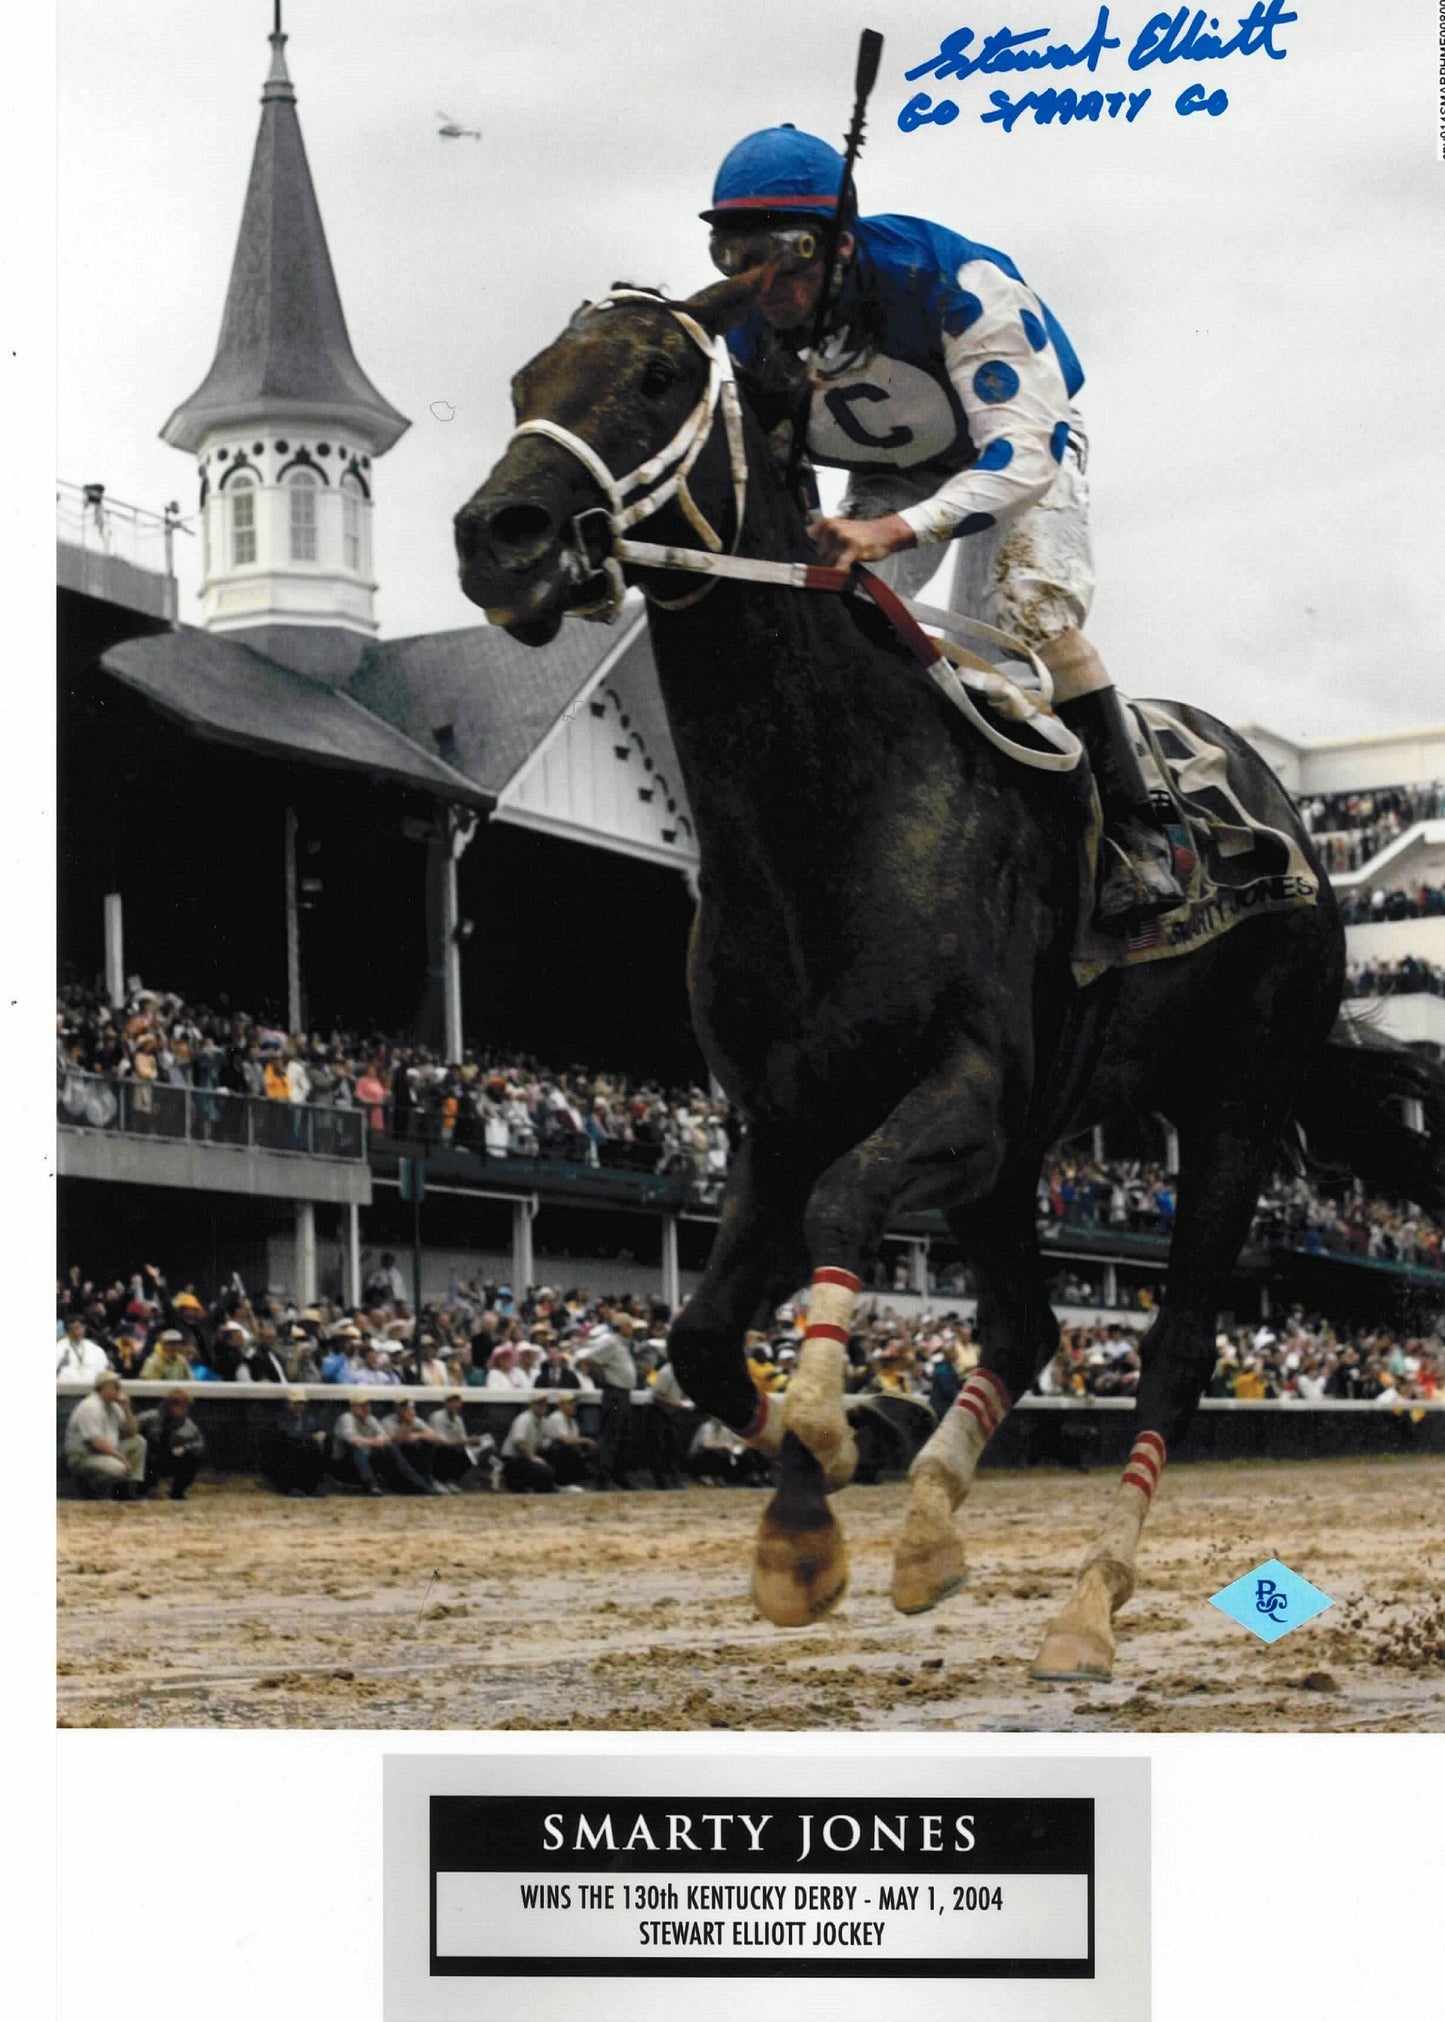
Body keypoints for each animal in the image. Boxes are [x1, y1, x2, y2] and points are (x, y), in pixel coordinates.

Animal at [454, 277, 1445, 1682]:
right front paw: (815, 1499)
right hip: (1031, 1151)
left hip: (1231, 1108)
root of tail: (1288, 823)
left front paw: (819, 1453)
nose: (499, 538)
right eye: (523, 381)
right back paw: (929, 1533)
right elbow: (699, 1339)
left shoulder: (962, 1094)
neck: (830, 811)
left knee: (1174, 1351)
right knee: (1027, 1324)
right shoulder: (778, 1117)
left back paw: (1086, 1601)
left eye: (654, 376)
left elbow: (845, 1208)